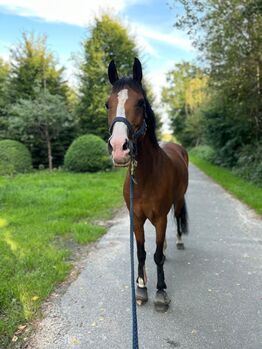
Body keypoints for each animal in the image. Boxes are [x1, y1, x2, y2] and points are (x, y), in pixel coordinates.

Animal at [106, 58, 188, 312]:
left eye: (141, 102)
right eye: (107, 104)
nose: (119, 148)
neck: (145, 177)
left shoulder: (160, 218)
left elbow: (156, 255)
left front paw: (161, 292)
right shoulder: (136, 218)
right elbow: (141, 252)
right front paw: (141, 287)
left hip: (179, 199)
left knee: (177, 218)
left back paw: (178, 242)